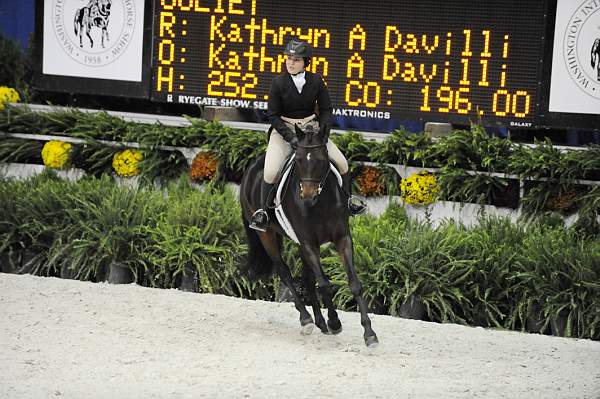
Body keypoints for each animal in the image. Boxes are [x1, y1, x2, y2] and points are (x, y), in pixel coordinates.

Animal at [237, 123, 378, 348]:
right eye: (299, 160)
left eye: (322, 160)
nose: (308, 196)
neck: (320, 204)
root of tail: (251, 169)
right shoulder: (309, 243)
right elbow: (325, 285)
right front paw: (335, 323)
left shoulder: (342, 239)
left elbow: (354, 284)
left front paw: (369, 333)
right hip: (267, 236)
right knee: (284, 272)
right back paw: (307, 319)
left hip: (299, 244)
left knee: (307, 278)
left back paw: (319, 322)